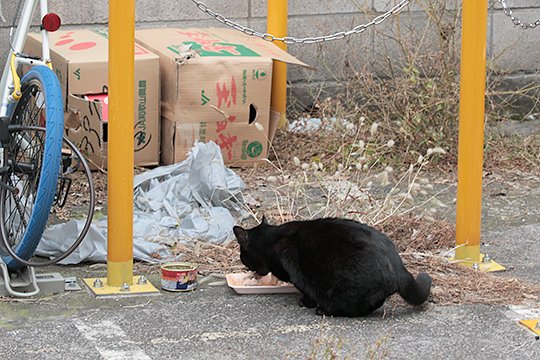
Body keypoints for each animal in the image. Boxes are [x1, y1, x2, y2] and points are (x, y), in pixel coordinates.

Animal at [234, 215, 432, 316]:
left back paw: (324, 309)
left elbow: (306, 289)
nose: (246, 266)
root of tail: (398, 267)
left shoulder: (294, 268)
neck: (271, 239)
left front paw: (306, 302)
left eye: (243, 255)